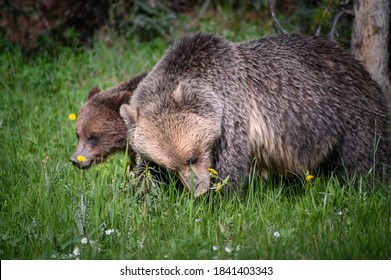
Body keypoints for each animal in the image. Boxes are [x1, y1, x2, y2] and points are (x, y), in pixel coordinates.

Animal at [120, 33, 391, 197]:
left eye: (192, 157)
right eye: (171, 166)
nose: (199, 190)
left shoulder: (233, 114)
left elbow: (230, 167)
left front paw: (217, 199)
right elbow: (145, 174)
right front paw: (143, 195)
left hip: (352, 114)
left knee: (366, 159)